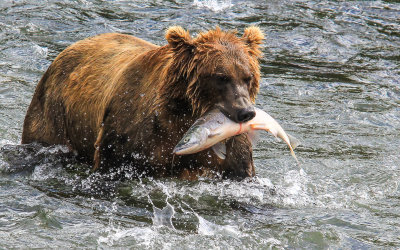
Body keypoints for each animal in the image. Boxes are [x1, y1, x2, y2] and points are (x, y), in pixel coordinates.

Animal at [22, 25, 266, 180]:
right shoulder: (132, 133)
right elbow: (113, 162)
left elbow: (241, 170)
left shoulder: (225, 153)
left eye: (248, 77)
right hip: (54, 114)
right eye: (221, 77)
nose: (245, 112)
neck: (183, 115)